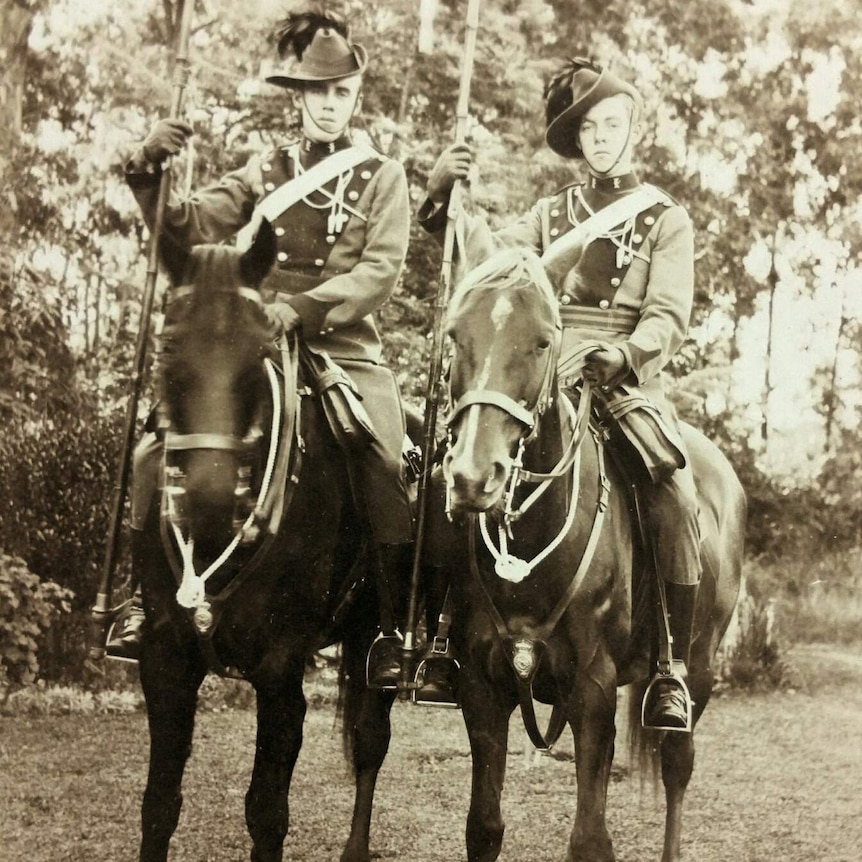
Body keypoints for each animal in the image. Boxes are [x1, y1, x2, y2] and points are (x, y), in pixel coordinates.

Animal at [136, 224, 398, 862]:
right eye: (168, 349)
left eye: (260, 353)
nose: (206, 499)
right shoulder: (164, 661)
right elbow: (159, 806)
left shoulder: (280, 673)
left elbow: (266, 813)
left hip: (371, 636)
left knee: (370, 740)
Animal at [426, 250, 748, 862]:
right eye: (456, 334)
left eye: (542, 341)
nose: (474, 478)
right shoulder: (483, 691)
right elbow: (484, 827)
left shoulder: (593, 695)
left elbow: (590, 839)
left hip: (697, 671)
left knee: (677, 768)